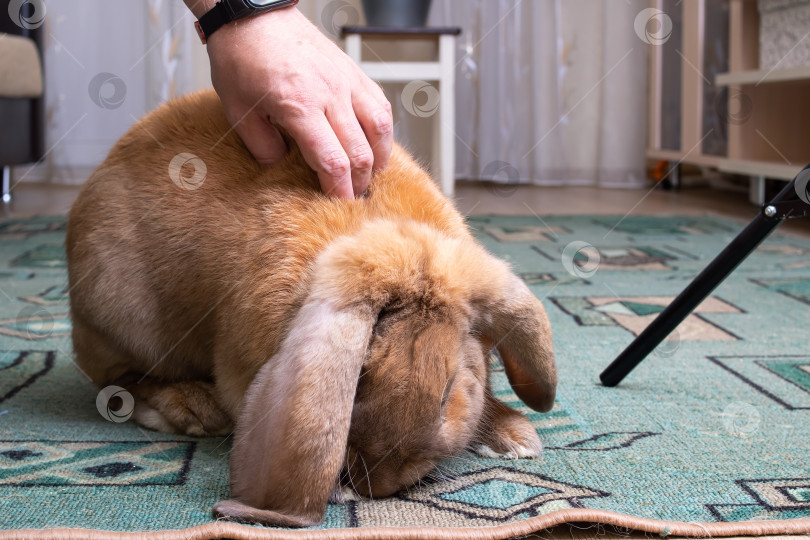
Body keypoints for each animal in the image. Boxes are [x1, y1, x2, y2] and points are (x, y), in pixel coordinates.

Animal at [66, 89, 556, 528]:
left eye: (448, 390)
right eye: (358, 380)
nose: (380, 486)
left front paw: (516, 438)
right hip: (126, 322)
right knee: (120, 385)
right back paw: (193, 410)